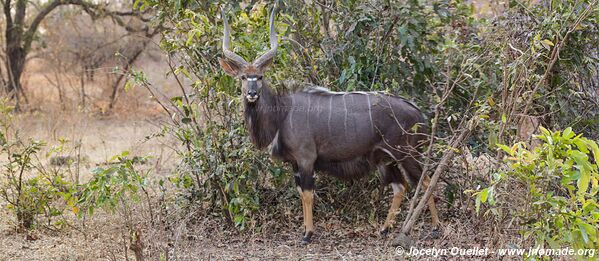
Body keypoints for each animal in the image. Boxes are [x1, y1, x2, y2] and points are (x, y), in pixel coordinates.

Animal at [220, 5, 440, 243]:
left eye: (260, 76)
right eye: (243, 77)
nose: (251, 94)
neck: (283, 112)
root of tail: (419, 113)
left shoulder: (306, 159)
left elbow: (308, 194)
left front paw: (308, 234)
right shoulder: (295, 163)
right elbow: (301, 193)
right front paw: (304, 230)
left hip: (406, 154)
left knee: (426, 181)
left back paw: (435, 227)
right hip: (385, 159)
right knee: (400, 186)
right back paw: (385, 228)